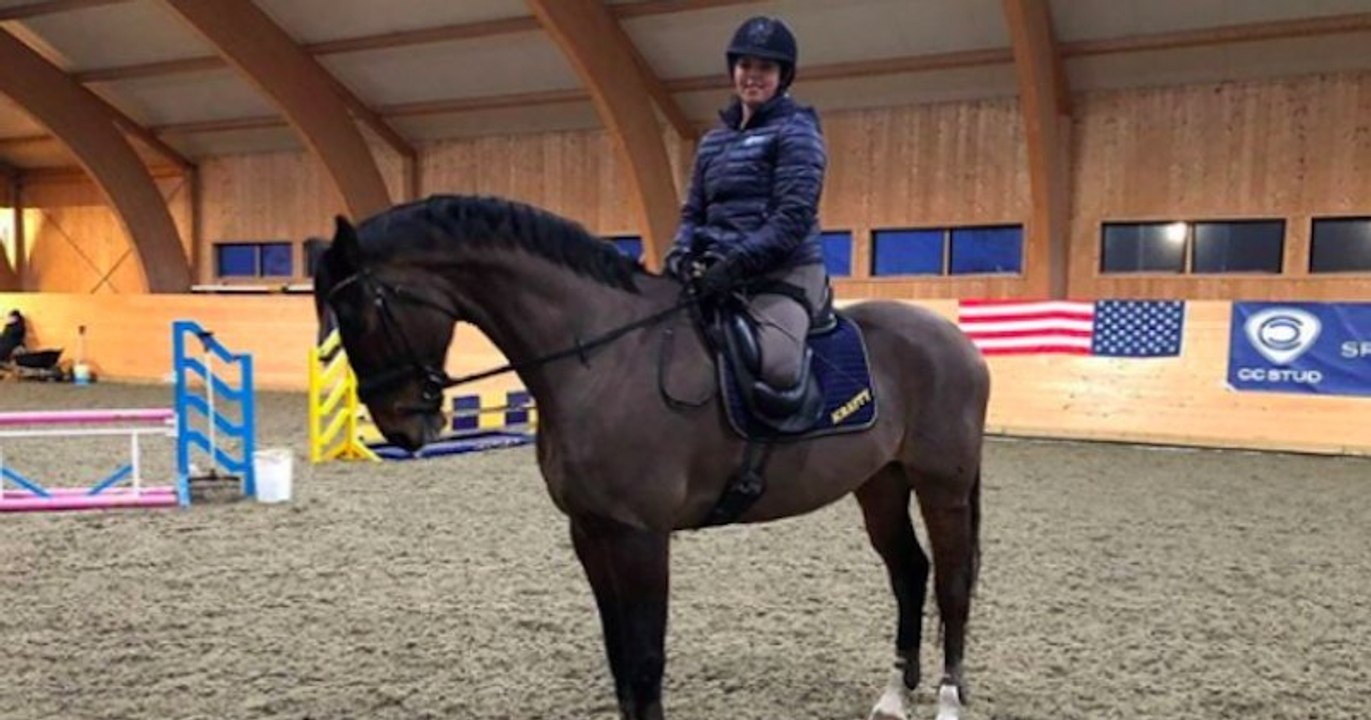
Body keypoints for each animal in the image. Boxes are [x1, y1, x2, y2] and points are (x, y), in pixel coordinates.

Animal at [313, 195, 989, 720]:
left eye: (358, 312)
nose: (403, 426)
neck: (605, 358)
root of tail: (957, 342)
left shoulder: (641, 536)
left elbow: (644, 658)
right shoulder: (591, 532)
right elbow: (619, 656)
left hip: (942, 488)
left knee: (952, 580)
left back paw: (948, 698)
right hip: (880, 483)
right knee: (908, 572)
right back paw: (894, 696)